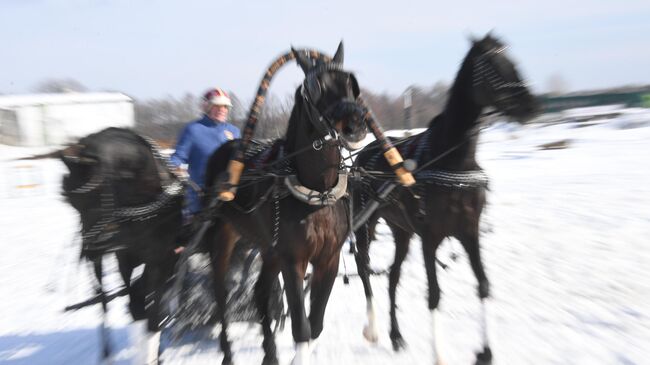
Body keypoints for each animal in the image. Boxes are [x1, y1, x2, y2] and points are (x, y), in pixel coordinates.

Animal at [34, 126, 184, 362]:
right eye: (70, 202)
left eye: (95, 199)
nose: (87, 251)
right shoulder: (125, 259)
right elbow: (134, 305)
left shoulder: (160, 261)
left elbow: (152, 313)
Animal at [200, 43, 368, 364]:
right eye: (316, 86)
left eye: (351, 85)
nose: (355, 123)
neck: (317, 193)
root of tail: (225, 147)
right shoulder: (293, 259)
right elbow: (301, 327)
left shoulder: (327, 259)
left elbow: (315, 324)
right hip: (224, 236)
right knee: (220, 295)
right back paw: (227, 352)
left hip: (269, 248)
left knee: (260, 292)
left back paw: (270, 353)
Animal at [352, 33, 536, 362]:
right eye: (491, 66)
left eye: (512, 61)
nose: (531, 105)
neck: (453, 162)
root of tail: (363, 154)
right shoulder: (430, 236)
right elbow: (435, 294)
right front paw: (439, 354)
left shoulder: (469, 231)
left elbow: (483, 284)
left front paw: (485, 351)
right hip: (366, 225)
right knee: (364, 268)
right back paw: (372, 328)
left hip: (401, 232)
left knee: (392, 277)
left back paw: (396, 335)